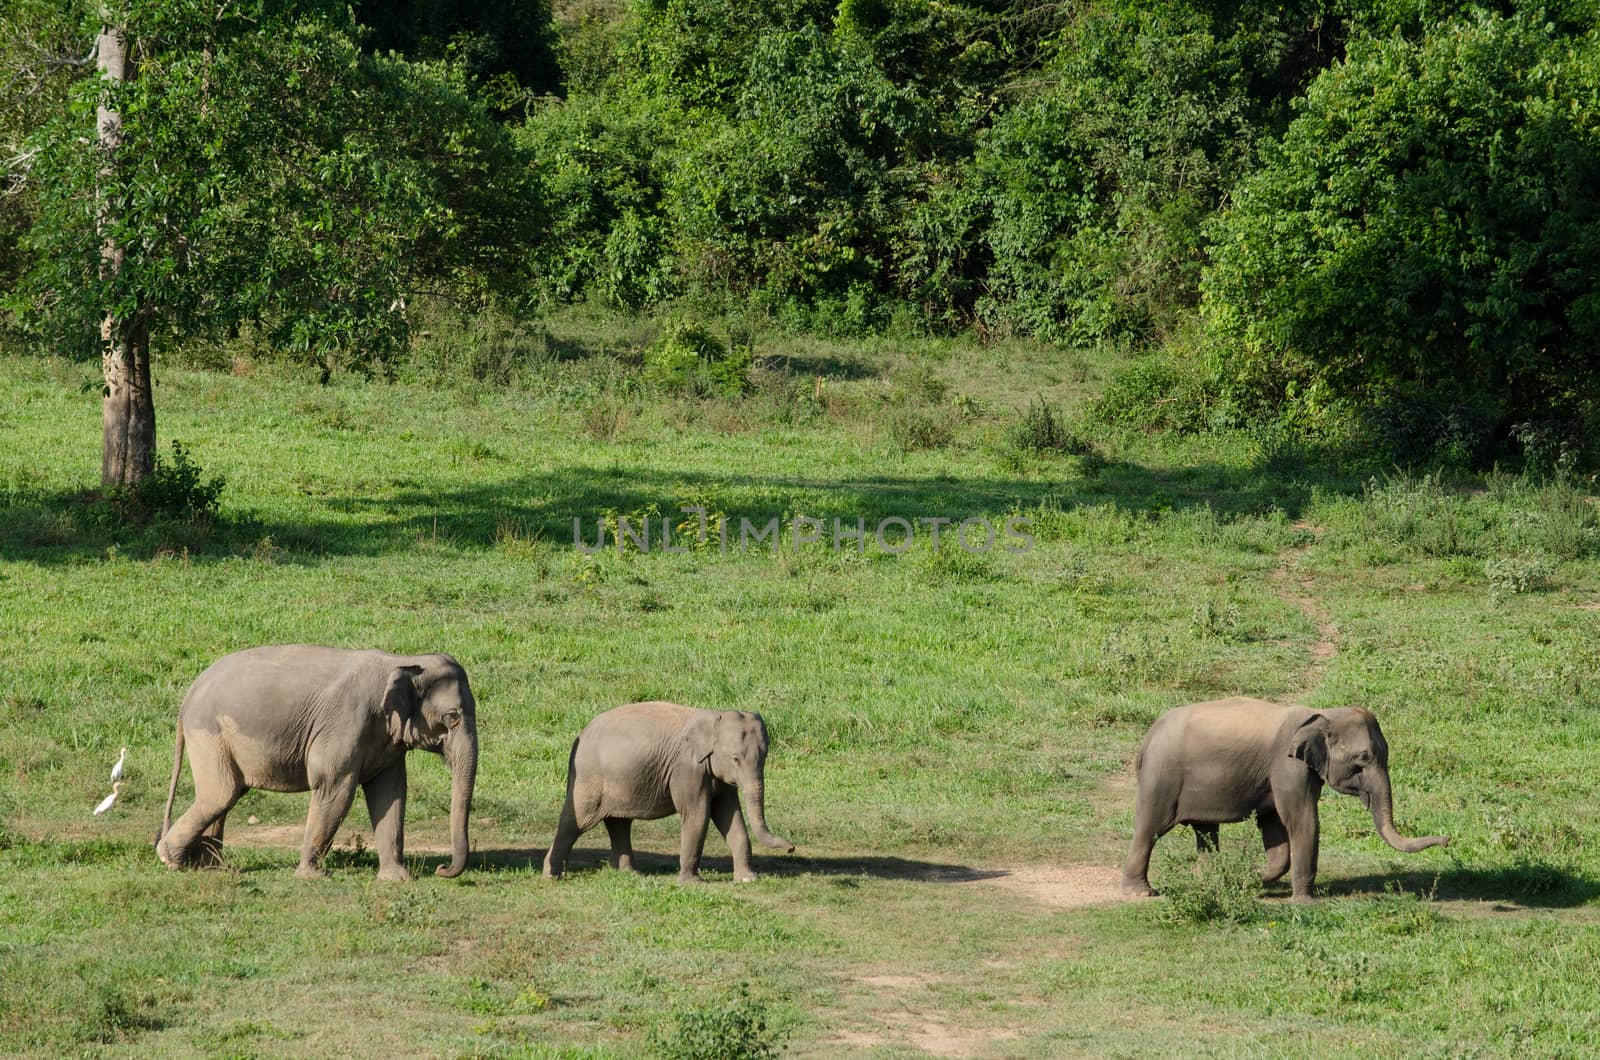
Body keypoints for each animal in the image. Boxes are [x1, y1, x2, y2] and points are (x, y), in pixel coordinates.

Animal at [155, 646, 480, 877]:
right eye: (453, 716)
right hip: (209, 733)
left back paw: (214, 868)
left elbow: (390, 794)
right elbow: (335, 789)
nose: (443, 870)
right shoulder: (345, 723)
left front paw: (397, 879)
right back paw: (171, 860)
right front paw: (311, 876)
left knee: (226, 796)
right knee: (220, 794)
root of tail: (189, 695)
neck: (402, 662)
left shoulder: (386, 742)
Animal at [544, 701, 793, 883]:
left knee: (619, 822)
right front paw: (692, 883)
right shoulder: (687, 769)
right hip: (590, 777)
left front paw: (748, 879)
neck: (713, 717)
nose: (791, 847)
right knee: (576, 821)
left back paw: (630, 873)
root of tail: (579, 737)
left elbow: (729, 815)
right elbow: (698, 814)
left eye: (764, 757)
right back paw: (552, 876)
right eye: (735, 759)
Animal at [1120, 698, 1446, 903]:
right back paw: (1141, 892)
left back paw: (1207, 877)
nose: (1447, 840)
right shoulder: (1288, 766)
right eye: (1363, 758)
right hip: (1161, 778)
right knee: (1150, 828)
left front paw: (1252, 877)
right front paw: (1303, 902)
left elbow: (1274, 824)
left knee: (1206, 831)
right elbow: (1301, 819)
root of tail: (1148, 738)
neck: (1321, 713)